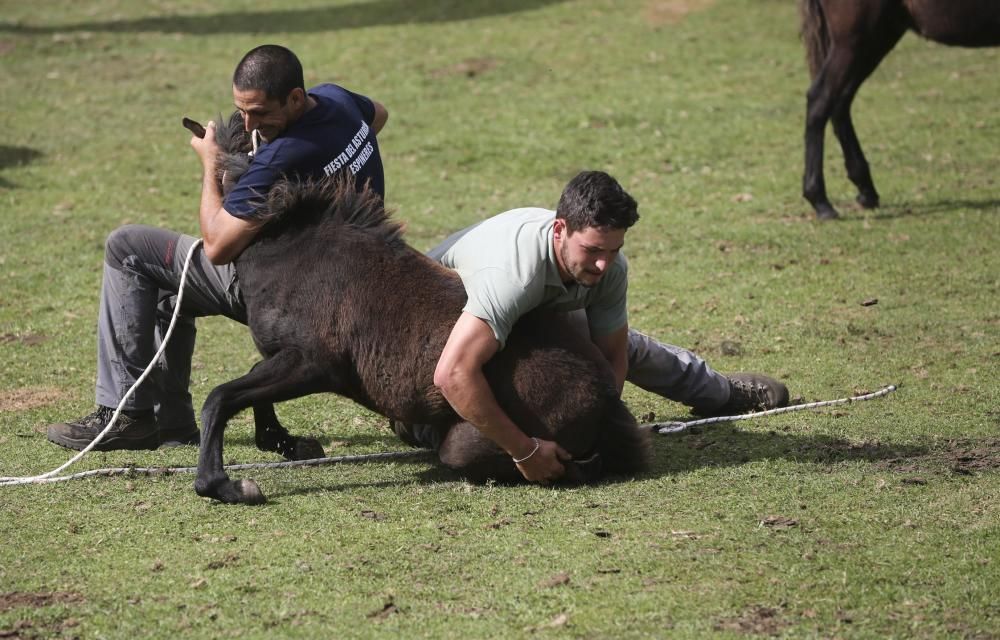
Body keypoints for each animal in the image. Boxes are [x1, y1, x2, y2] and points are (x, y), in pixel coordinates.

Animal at [796, 0, 1000, 219]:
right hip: (853, 40)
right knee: (820, 99)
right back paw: (821, 201)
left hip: (879, 36)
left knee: (840, 103)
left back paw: (866, 192)